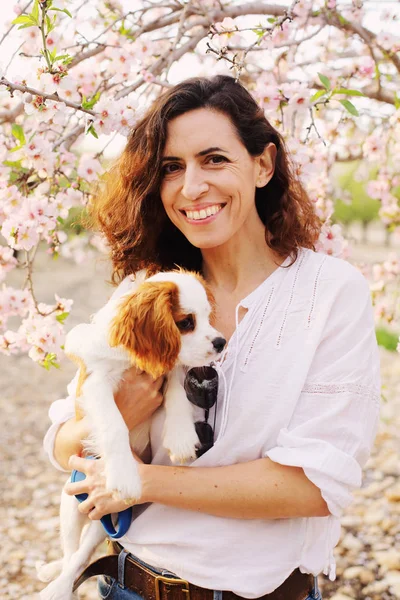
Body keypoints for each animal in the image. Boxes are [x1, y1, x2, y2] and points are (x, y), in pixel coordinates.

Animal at [38, 270, 225, 600]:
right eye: (186, 322)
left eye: (207, 316)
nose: (220, 342)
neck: (133, 359)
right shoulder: (95, 381)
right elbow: (114, 424)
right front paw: (125, 475)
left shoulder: (169, 369)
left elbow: (177, 389)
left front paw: (180, 436)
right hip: (71, 502)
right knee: (71, 554)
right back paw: (57, 585)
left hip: (102, 517)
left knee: (82, 554)